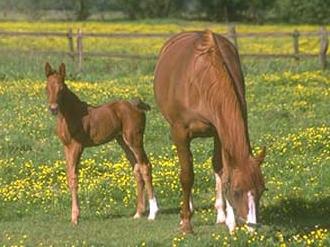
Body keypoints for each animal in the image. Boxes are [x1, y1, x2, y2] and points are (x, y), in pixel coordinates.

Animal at [45, 62, 159, 225]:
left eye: (61, 88)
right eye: (46, 88)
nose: (53, 108)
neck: (71, 114)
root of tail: (136, 104)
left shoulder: (77, 146)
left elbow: (74, 177)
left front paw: (75, 217)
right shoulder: (66, 147)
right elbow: (69, 176)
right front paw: (74, 216)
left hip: (134, 140)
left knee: (145, 166)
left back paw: (153, 213)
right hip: (123, 142)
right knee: (137, 168)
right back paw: (138, 213)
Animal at [154, 30, 266, 233]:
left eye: (262, 190)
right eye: (237, 191)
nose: (252, 227)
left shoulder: (219, 132)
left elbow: (222, 168)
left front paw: (229, 220)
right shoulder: (180, 133)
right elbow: (187, 175)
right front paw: (186, 223)